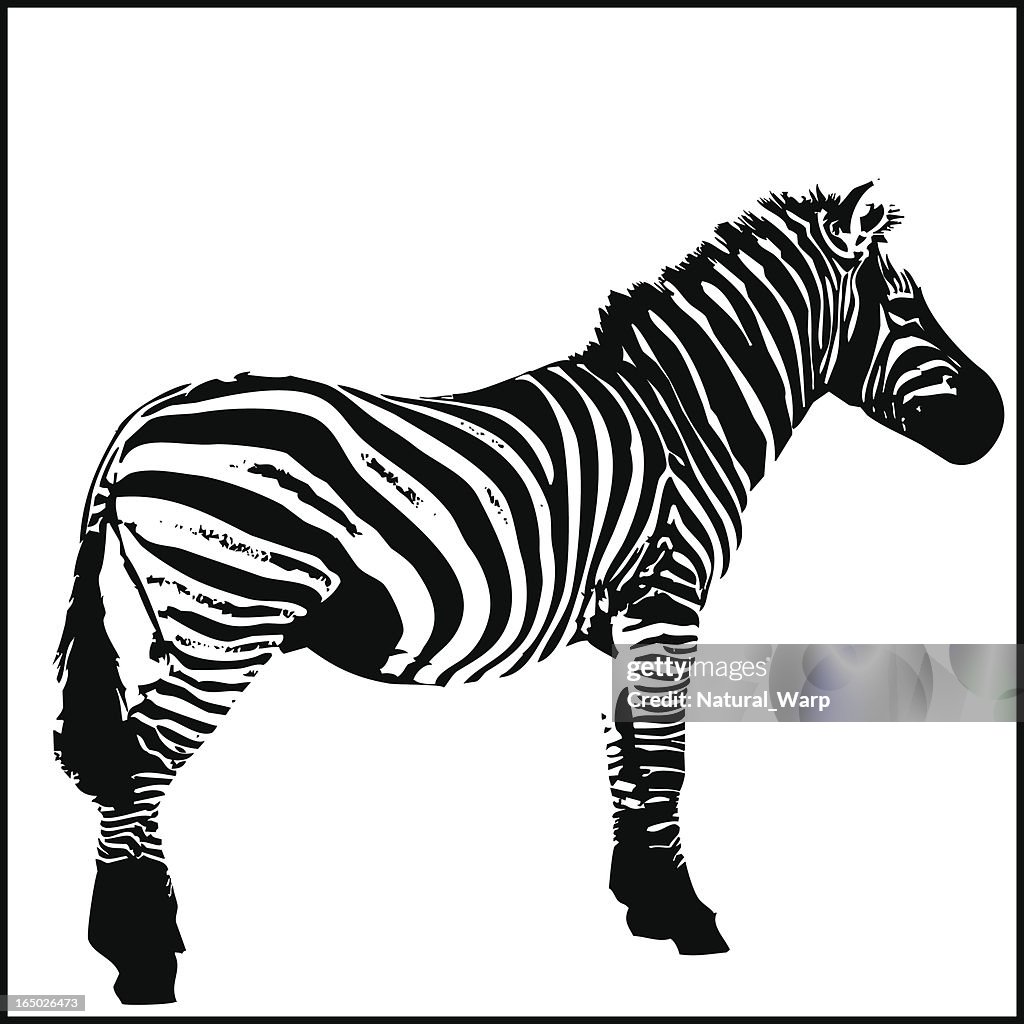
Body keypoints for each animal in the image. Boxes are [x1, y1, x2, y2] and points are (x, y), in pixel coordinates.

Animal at [55, 182, 1003, 1003]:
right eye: (907, 310)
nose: (993, 425)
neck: (684, 418)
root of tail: (140, 422)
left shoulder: (622, 619)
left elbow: (626, 756)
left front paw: (643, 903)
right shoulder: (668, 598)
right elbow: (668, 757)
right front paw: (690, 918)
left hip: (160, 627)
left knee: (119, 765)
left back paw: (135, 937)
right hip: (228, 616)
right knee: (139, 766)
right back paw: (143, 962)